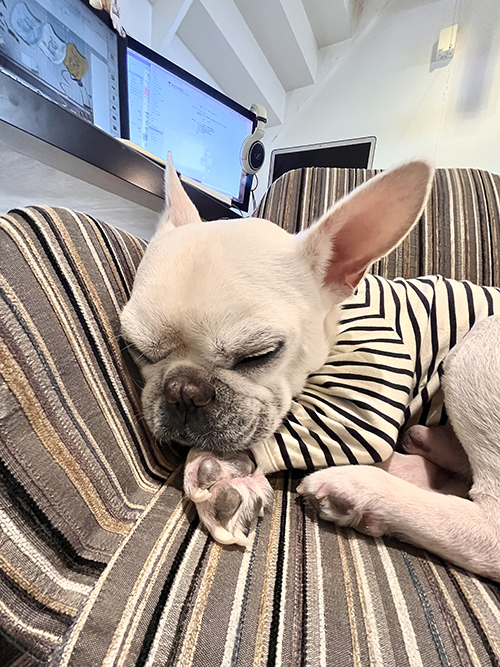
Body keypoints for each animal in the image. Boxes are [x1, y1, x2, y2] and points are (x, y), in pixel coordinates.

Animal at [121, 156, 500, 581]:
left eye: (259, 355)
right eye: (137, 349)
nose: (183, 391)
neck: (337, 317)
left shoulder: (368, 392)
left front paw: (219, 467)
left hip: (480, 343)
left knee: (489, 523)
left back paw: (361, 488)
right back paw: (421, 448)